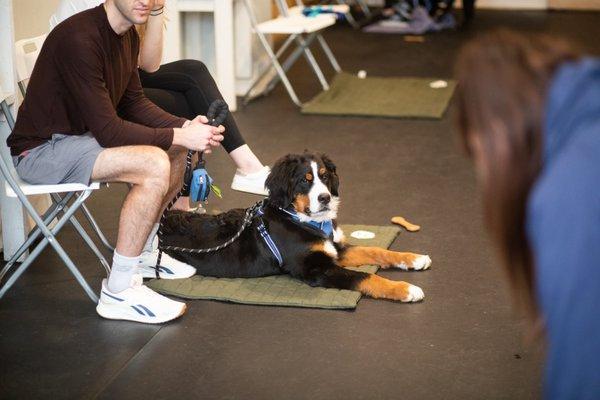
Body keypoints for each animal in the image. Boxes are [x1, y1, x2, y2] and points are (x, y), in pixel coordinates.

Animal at [159, 153, 432, 304]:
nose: (325, 198)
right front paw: (405, 289)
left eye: (324, 176)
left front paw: (413, 258)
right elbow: (365, 276)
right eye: (304, 180)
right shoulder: (317, 268)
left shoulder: (334, 248)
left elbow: (376, 250)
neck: (303, 220)